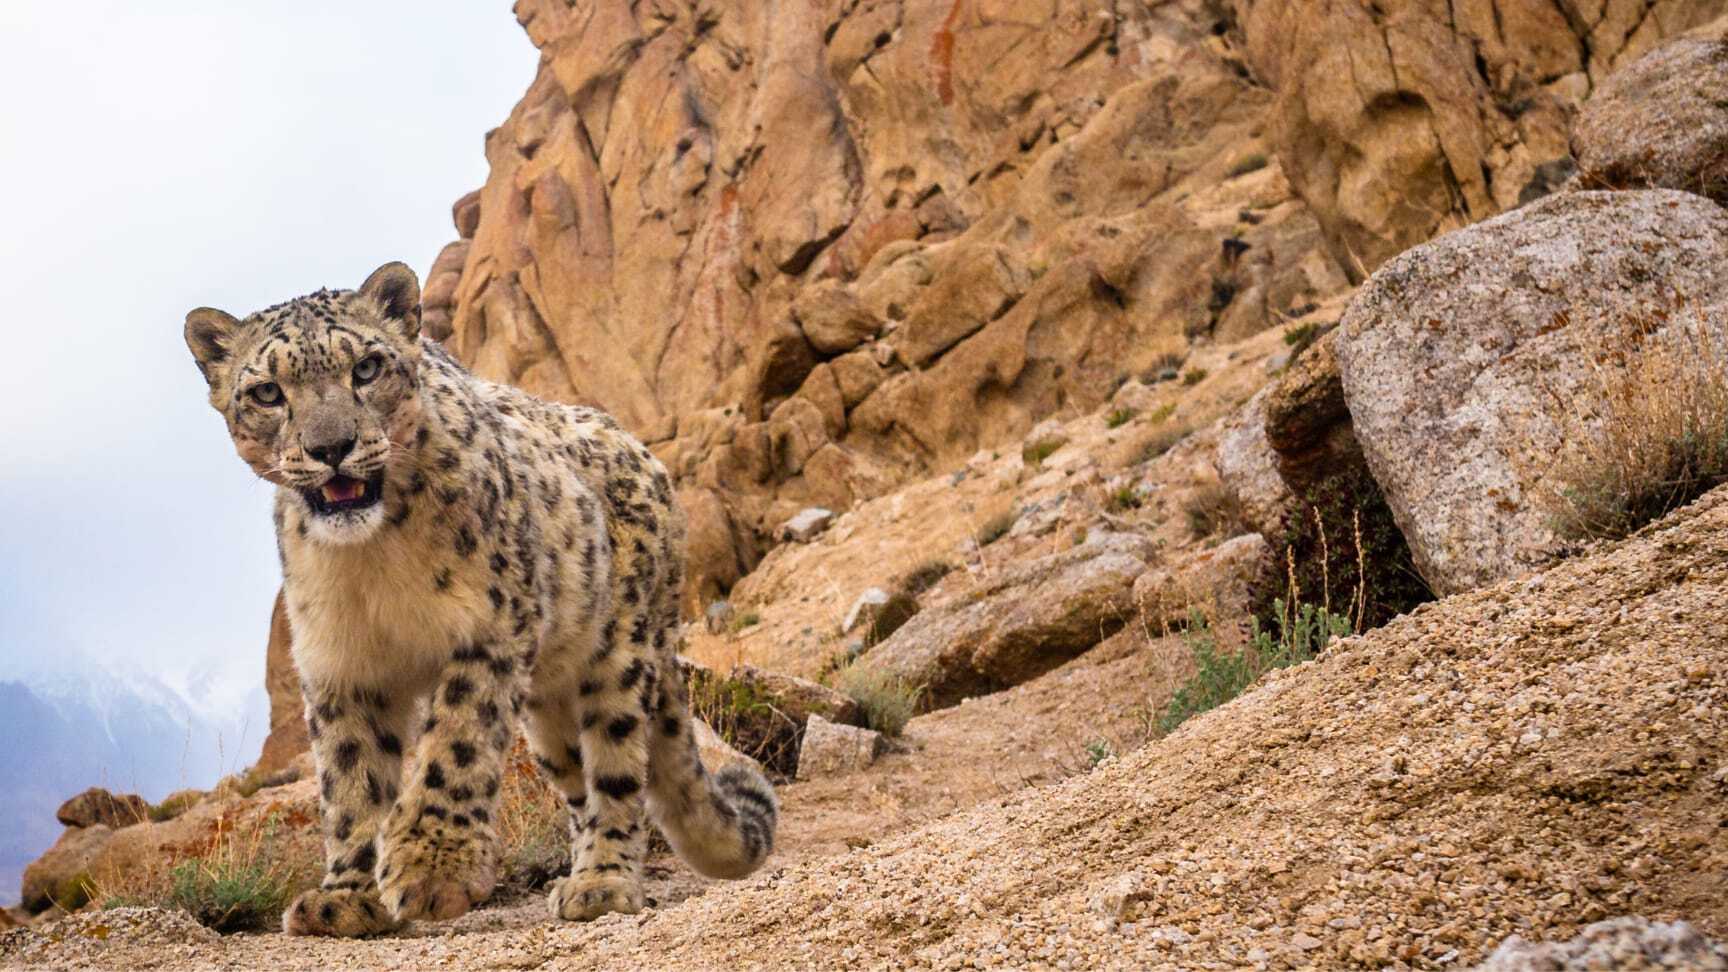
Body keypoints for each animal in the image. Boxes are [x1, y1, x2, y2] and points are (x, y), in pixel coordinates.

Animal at [184, 261, 776, 937]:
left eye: (366, 367)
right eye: (266, 393)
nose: (330, 447)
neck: (372, 560)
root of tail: (647, 459)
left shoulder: (489, 624)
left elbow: (456, 740)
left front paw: (432, 869)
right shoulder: (341, 664)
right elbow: (350, 778)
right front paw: (344, 897)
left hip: (619, 654)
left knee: (618, 770)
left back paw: (601, 883)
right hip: (548, 708)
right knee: (577, 784)